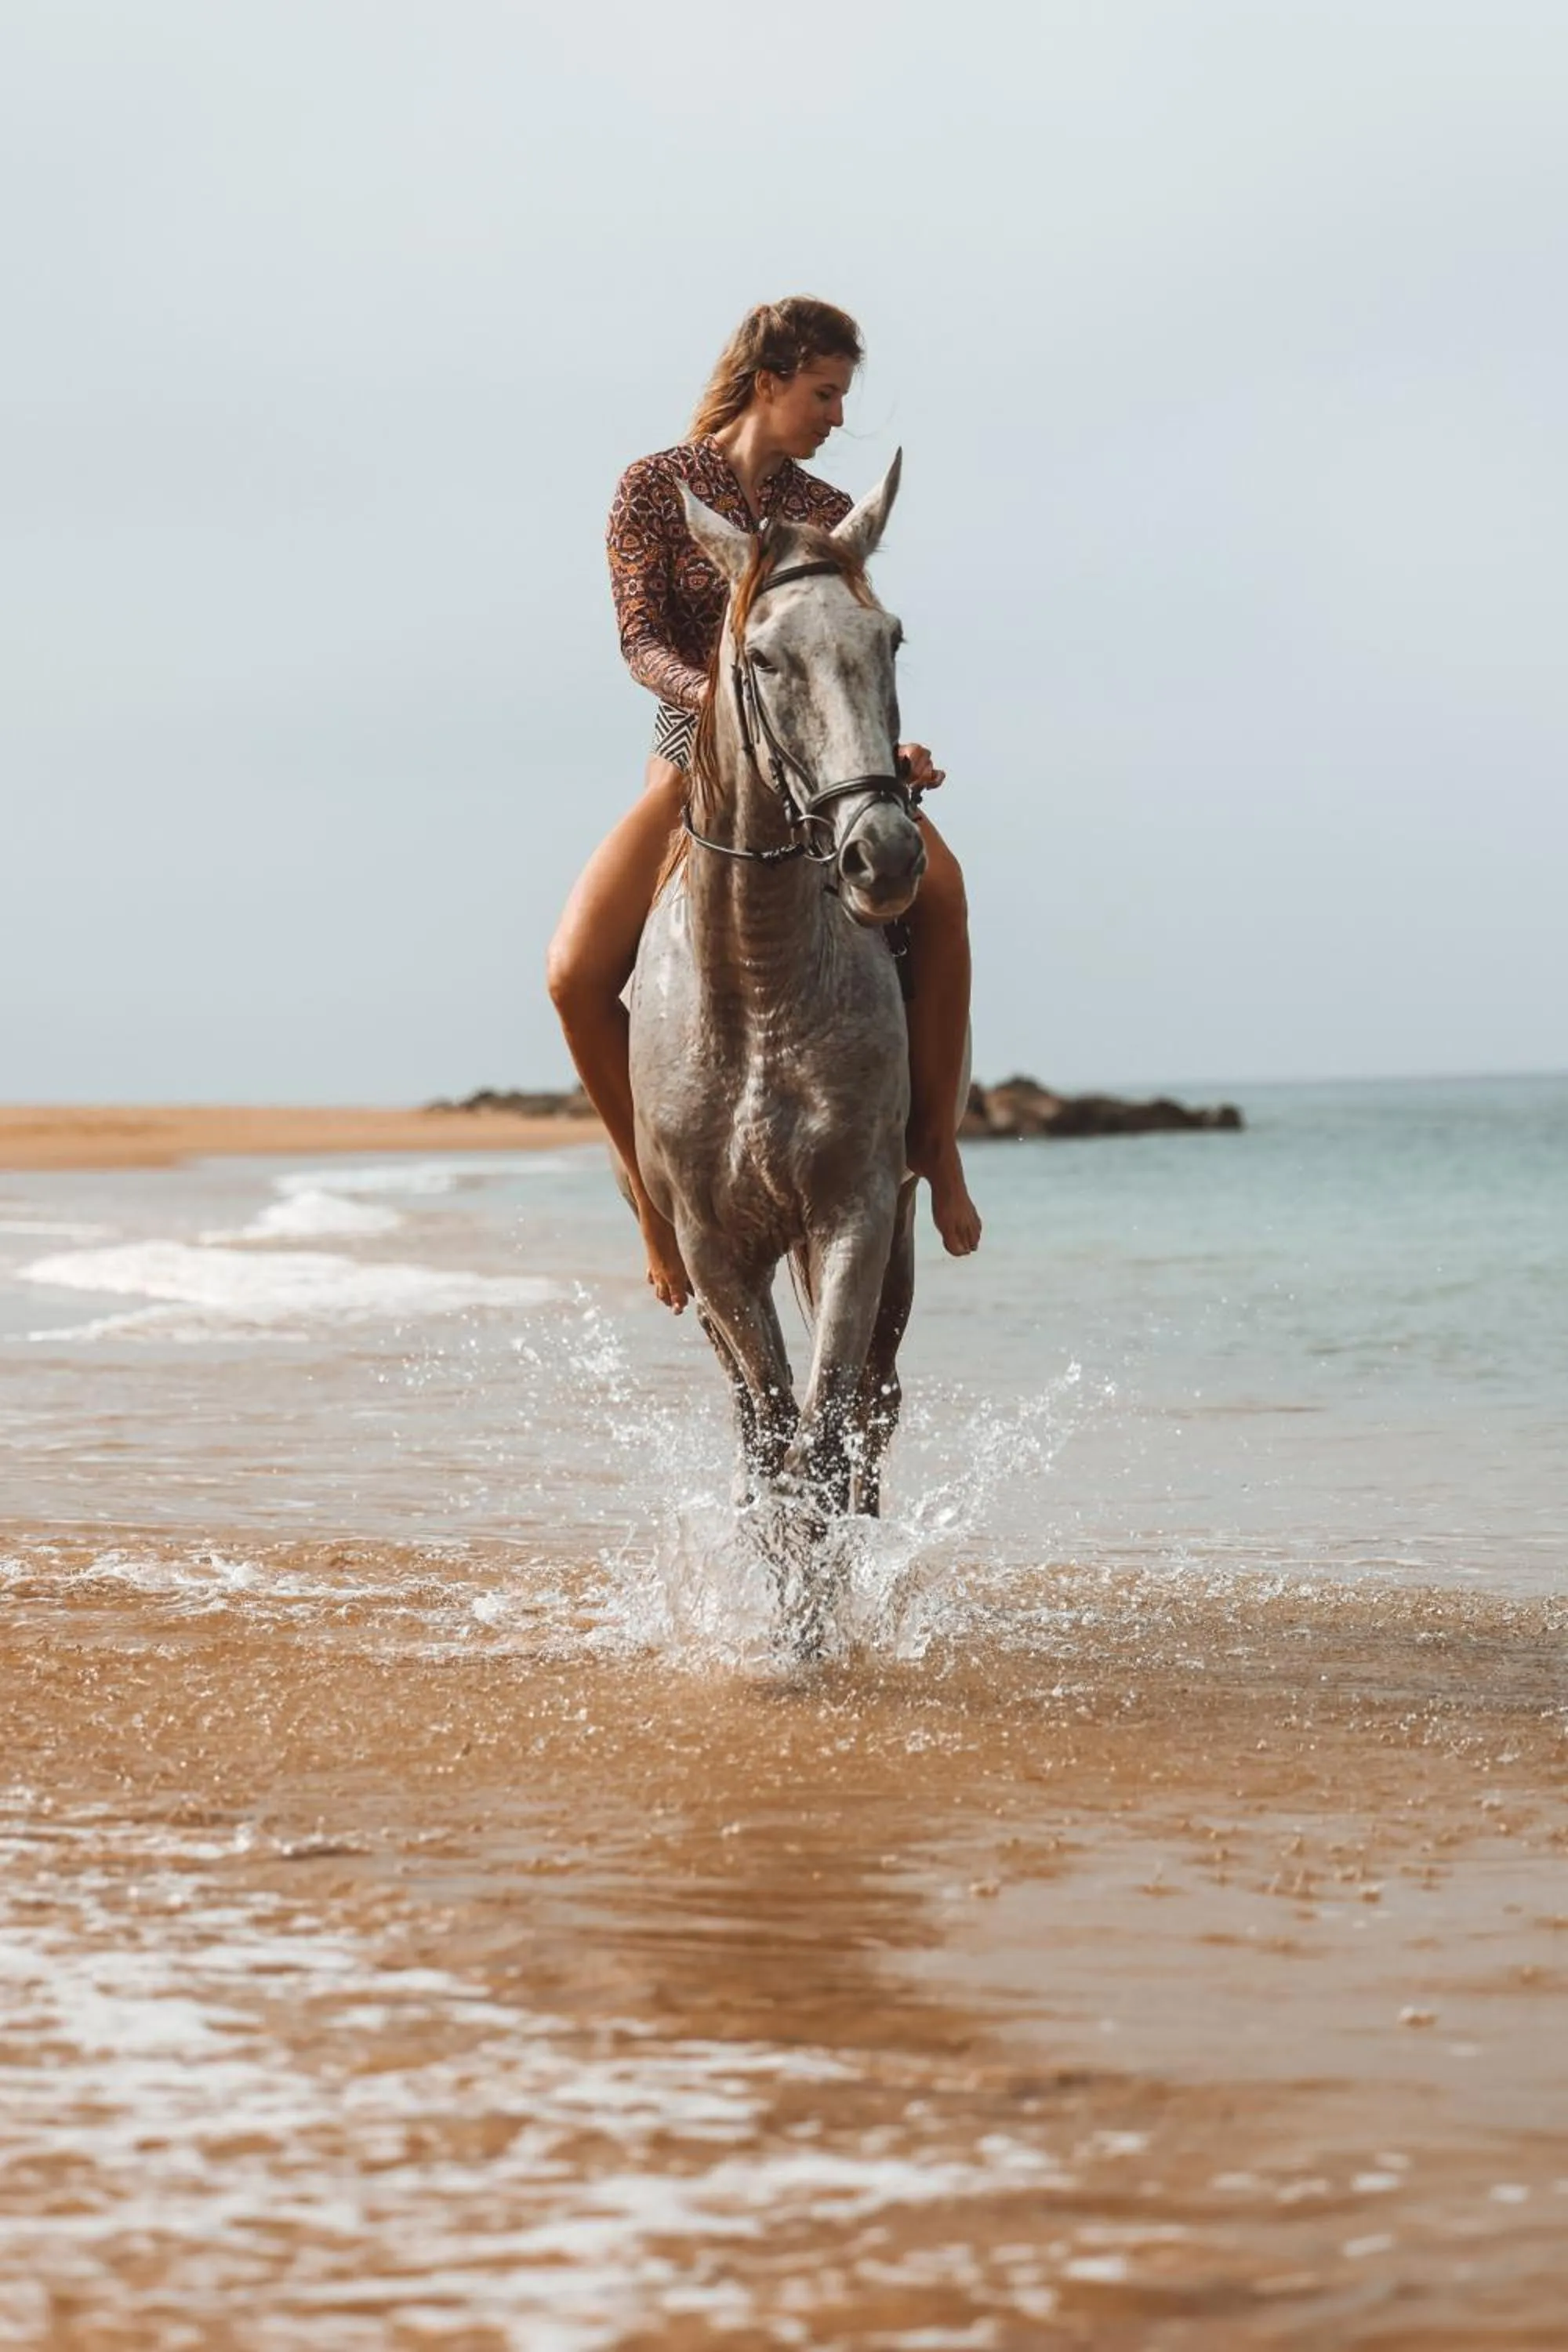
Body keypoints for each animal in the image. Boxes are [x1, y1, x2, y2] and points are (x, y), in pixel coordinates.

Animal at [627, 454, 938, 1633]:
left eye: (889, 638)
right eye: (761, 656)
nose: (881, 854)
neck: (758, 980)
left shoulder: (853, 1215)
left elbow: (824, 1440)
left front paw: (817, 1631)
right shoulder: (714, 1248)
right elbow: (770, 1449)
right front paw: (782, 1627)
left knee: (870, 1418)